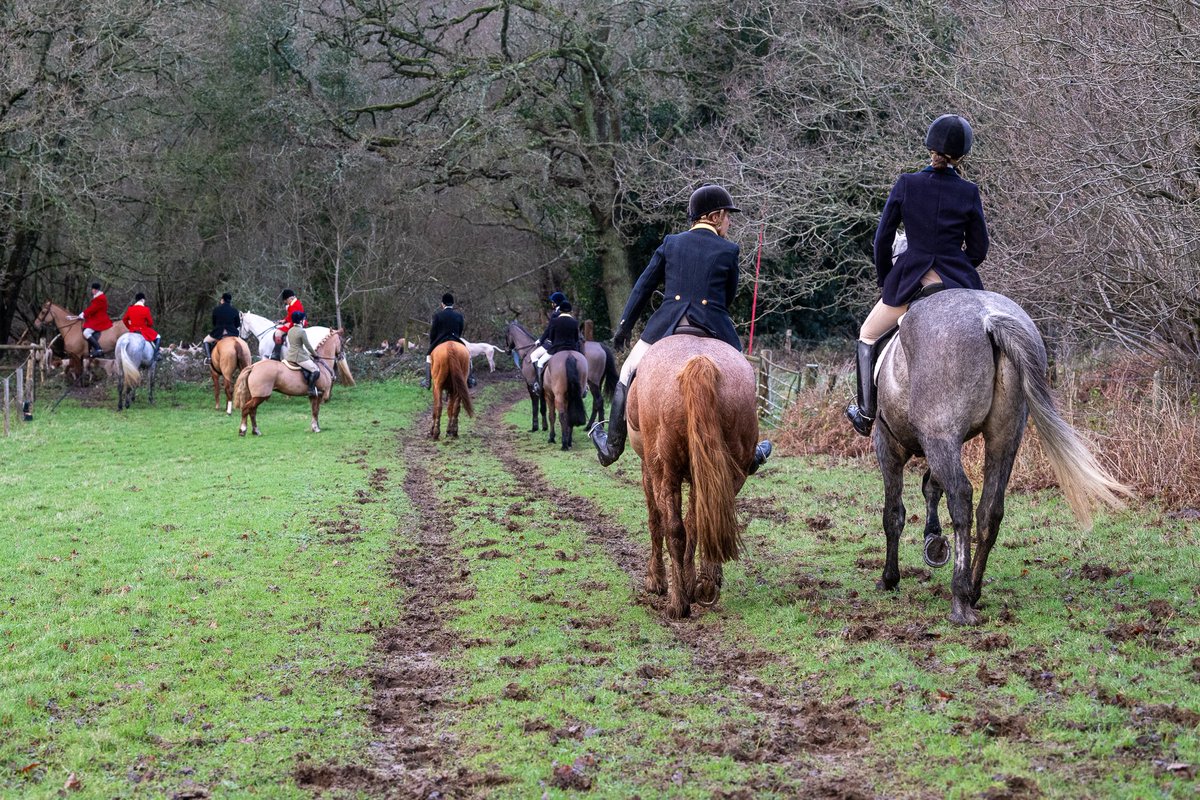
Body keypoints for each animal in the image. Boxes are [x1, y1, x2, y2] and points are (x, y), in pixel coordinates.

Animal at [627, 336, 760, 619]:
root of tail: (700, 362)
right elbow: (694, 523)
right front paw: (692, 581)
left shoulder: (647, 469)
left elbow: (656, 522)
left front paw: (656, 581)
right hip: (730, 471)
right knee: (709, 520)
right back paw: (706, 585)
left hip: (664, 471)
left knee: (673, 529)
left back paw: (678, 603)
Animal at [873, 289, 1129, 625]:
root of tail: (988, 317)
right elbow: (931, 488)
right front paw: (933, 542)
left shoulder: (889, 445)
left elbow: (894, 514)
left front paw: (890, 579)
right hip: (1004, 438)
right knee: (990, 511)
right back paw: (973, 590)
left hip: (942, 436)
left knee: (961, 499)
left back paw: (960, 600)